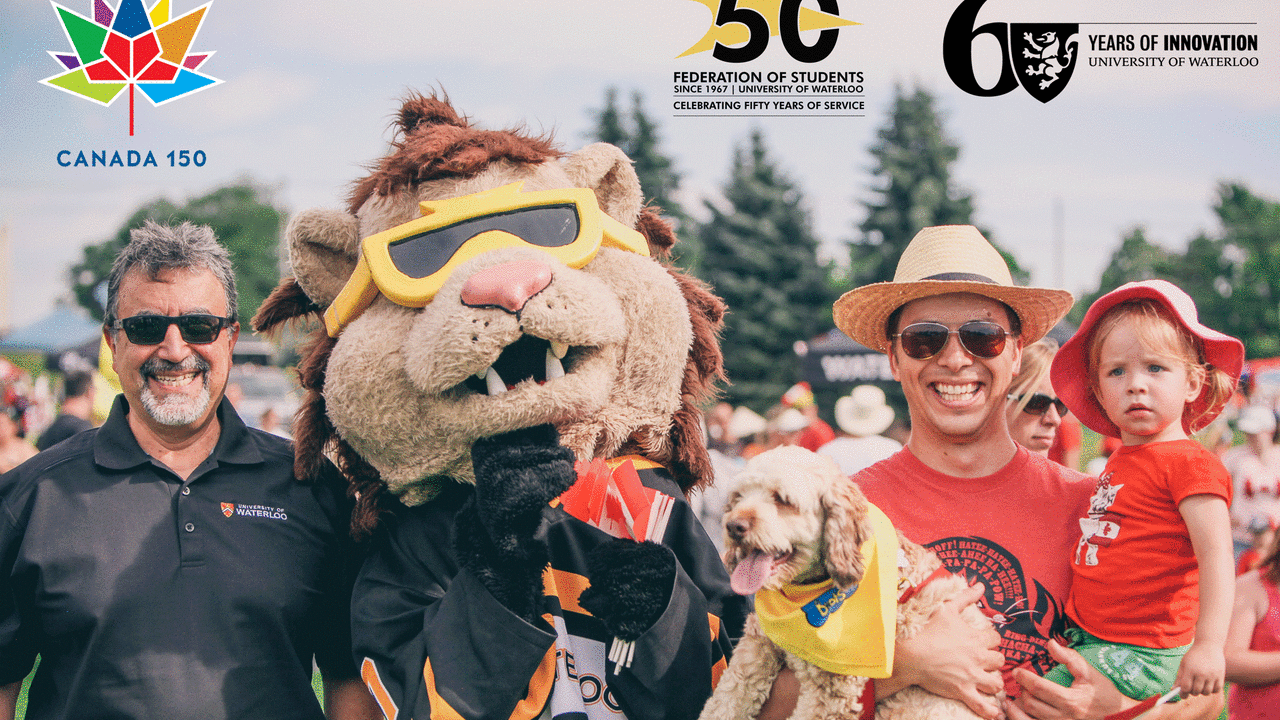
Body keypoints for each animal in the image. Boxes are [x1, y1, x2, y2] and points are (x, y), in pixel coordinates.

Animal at [706, 445, 993, 712]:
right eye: (738, 497)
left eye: (782, 499)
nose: (733, 526)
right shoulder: (757, 646)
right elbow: (723, 702)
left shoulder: (832, 688)